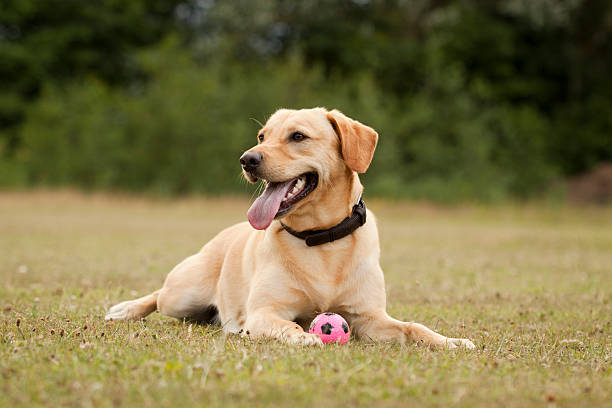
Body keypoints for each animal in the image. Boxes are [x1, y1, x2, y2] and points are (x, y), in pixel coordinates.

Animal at [105, 107, 476, 350]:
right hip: (183, 294)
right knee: (158, 296)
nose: (247, 159)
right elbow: (290, 327)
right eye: (262, 136)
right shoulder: (264, 313)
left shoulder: (370, 318)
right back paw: (126, 309)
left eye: (298, 136)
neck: (322, 240)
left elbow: (415, 327)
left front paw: (451, 341)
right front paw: (308, 338)